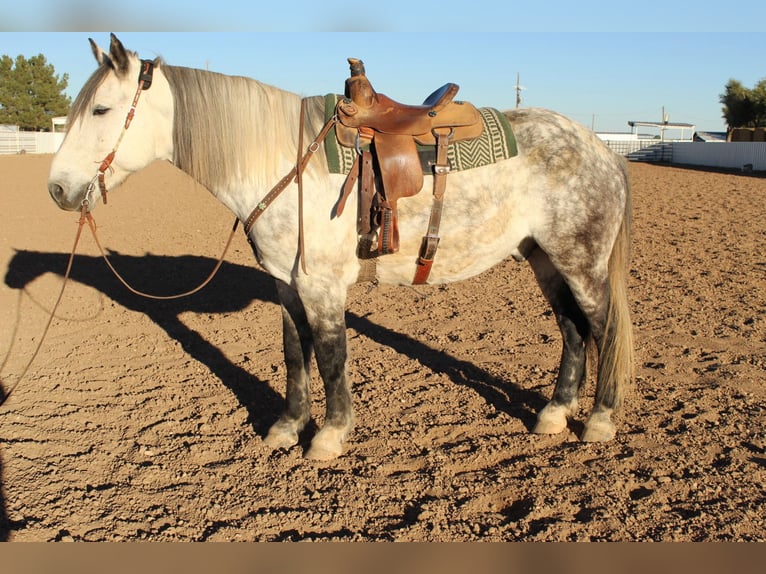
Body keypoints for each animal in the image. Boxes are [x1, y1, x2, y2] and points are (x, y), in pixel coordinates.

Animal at [48, 34, 633, 460]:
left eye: (100, 110)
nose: (56, 189)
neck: (282, 160)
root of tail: (600, 148)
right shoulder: (287, 283)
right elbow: (294, 352)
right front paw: (287, 427)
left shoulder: (323, 286)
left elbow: (331, 355)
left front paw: (329, 435)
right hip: (545, 259)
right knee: (572, 330)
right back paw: (554, 414)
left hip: (581, 262)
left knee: (602, 327)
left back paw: (599, 420)